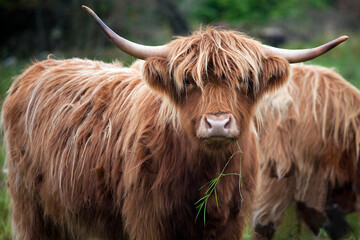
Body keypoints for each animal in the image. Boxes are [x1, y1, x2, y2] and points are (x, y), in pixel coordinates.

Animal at [2, 5, 346, 240]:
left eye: (245, 81)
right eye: (189, 81)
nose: (218, 124)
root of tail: (41, 66)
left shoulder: (231, 223)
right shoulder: (148, 222)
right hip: (30, 211)